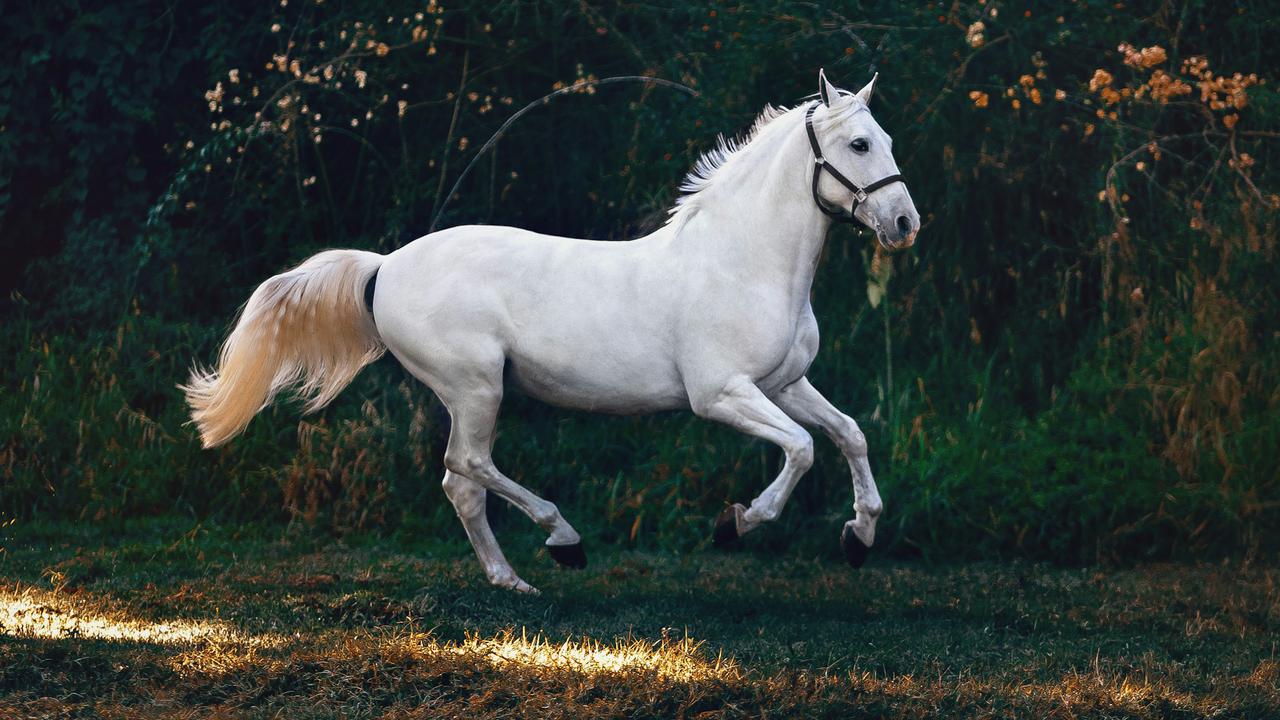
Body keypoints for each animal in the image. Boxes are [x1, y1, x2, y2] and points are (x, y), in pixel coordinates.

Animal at [182, 70, 920, 593]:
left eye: (887, 141)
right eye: (859, 144)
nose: (905, 223)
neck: (743, 261)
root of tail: (385, 265)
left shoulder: (785, 383)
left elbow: (848, 434)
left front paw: (859, 537)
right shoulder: (722, 395)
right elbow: (801, 449)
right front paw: (735, 524)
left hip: (473, 393)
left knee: (461, 484)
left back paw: (512, 580)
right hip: (476, 387)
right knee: (468, 467)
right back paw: (563, 541)